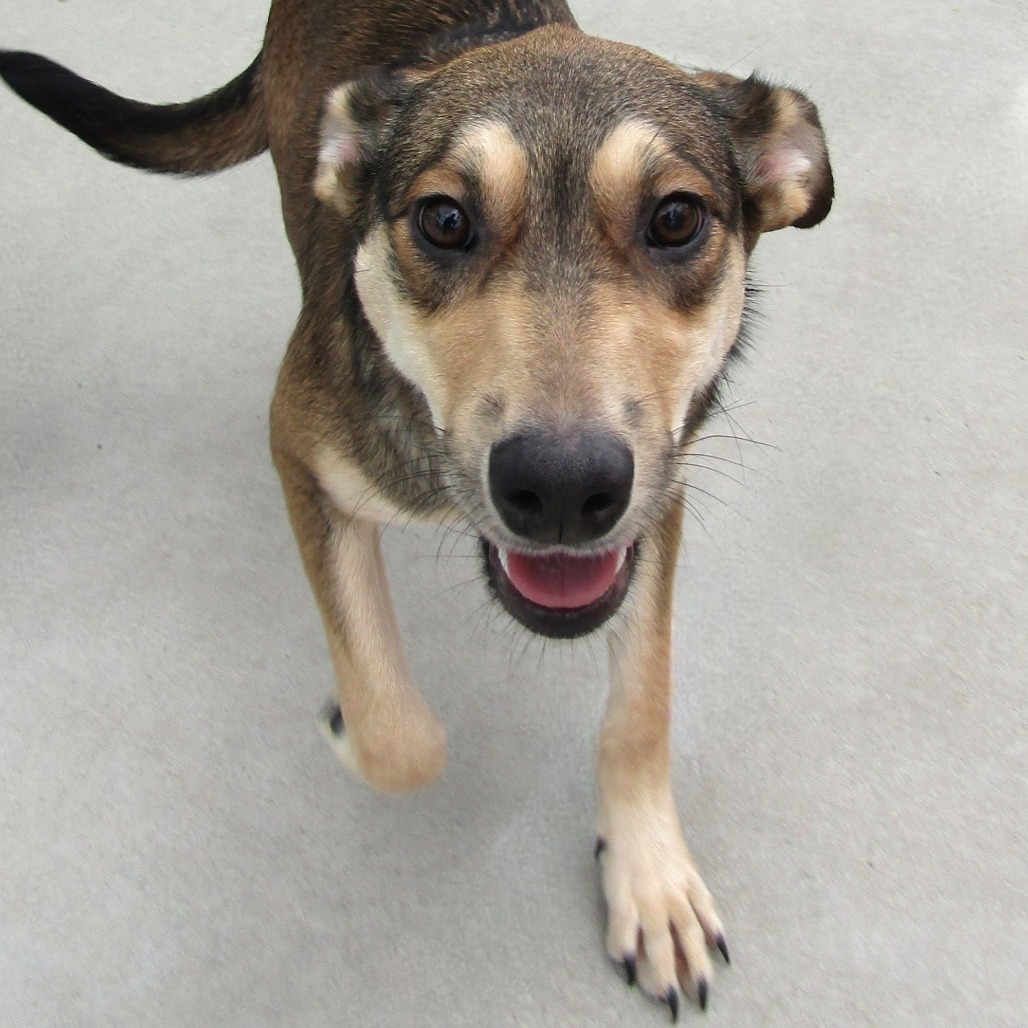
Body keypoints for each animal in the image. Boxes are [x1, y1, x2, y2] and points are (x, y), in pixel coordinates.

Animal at [2, 0, 834, 1011]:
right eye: (444, 219)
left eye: (676, 217)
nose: (564, 489)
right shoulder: (301, 453)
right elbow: (400, 734)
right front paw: (349, 729)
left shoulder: (662, 494)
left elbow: (642, 708)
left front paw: (650, 878)